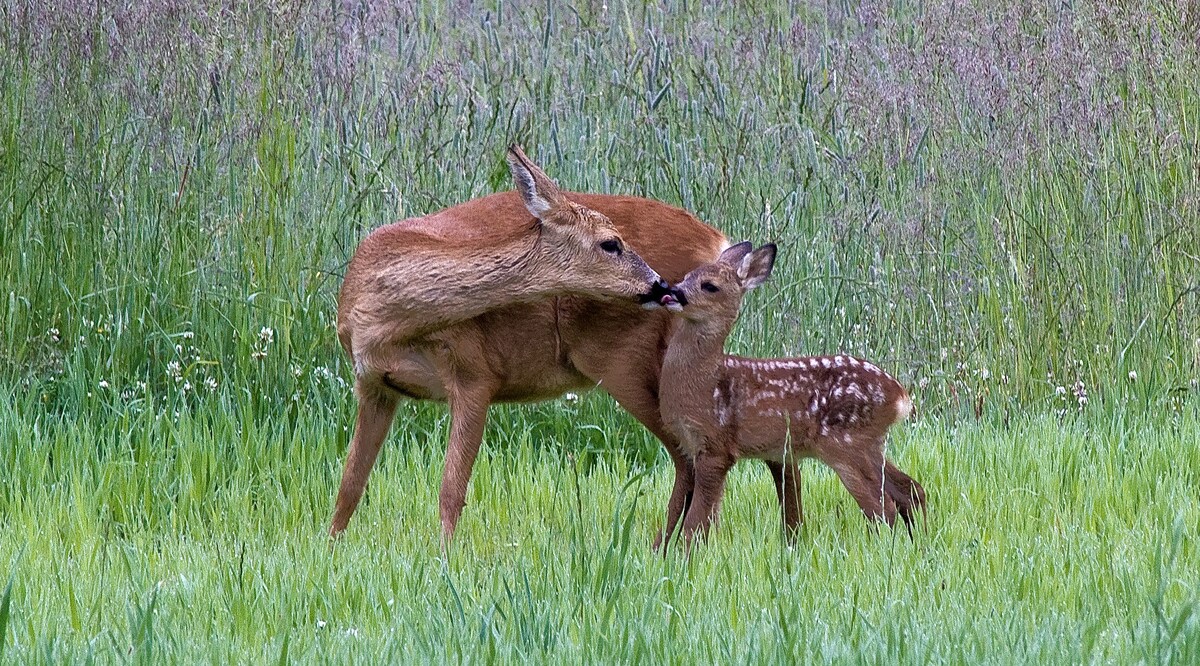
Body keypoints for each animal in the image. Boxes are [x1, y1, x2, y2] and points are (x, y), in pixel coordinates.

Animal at [331, 143, 768, 544]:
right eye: (611, 243)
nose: (662, 286)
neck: (388, 320)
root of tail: (716, 240)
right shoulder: (372, 384)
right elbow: (349, 485)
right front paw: (331, 548)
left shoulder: (476, 374)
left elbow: (451, 490)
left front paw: (445, 560)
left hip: (629, 362)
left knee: (692, 457)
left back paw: (672, 545)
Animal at [657, 242, 926, 544]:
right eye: (687, 276)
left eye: (709, 286)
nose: (673, 292)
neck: (704, 382)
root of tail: (900, 396)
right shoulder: (693, 447)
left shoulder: (717, 446)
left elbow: (695, 522)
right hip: (871, 443)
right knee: (910, 489)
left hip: (845, 444)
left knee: (882, 507)